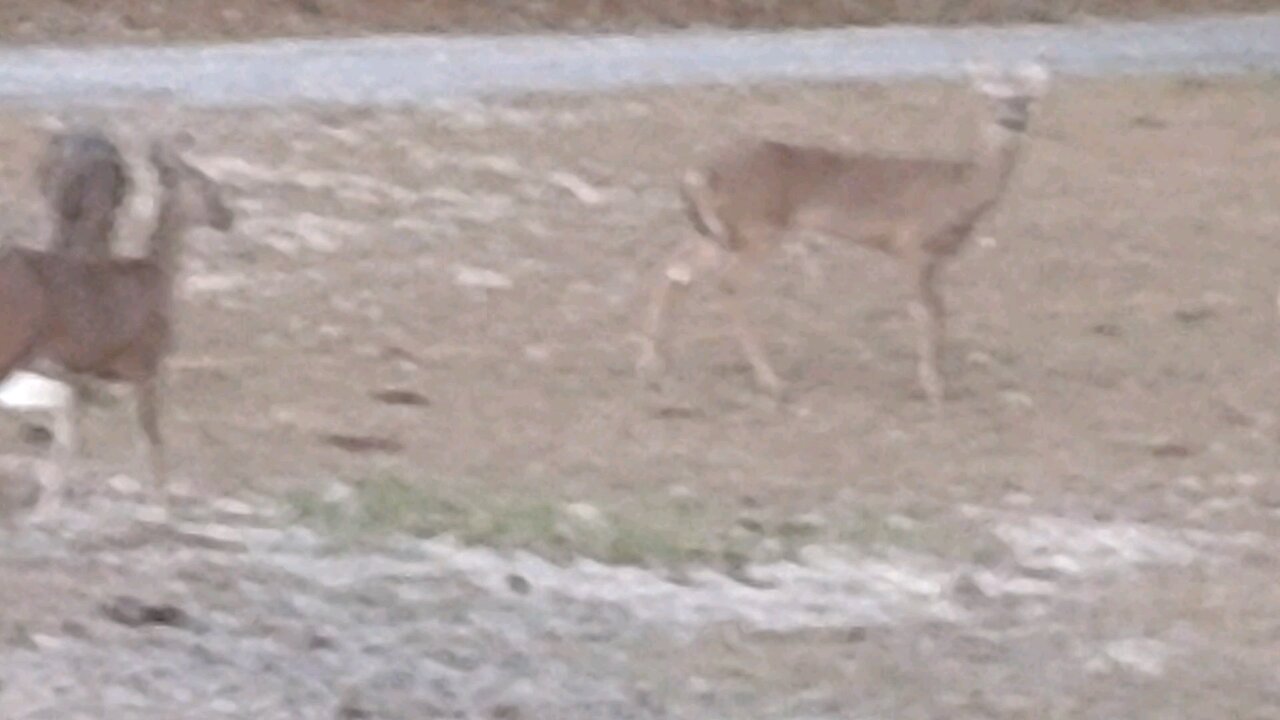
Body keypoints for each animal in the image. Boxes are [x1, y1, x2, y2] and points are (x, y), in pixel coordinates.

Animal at [0, 135, 232, 515]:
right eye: (207, 186)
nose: (228, 217)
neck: (158, 278)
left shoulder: (86, 372)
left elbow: (73, 437)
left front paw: (52, 501)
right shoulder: (146, 364)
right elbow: (151, 438)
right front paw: (162, 504)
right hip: (12, 341)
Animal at [637, 58, 1049, 409]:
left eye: (1026, 99)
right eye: (990, 97)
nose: (1012, 120)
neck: (960, 193)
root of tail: (698, 173)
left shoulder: (937, 258)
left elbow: (939, 310)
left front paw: (940, 378)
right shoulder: (912, 244)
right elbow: (925, 312)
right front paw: (932, 387)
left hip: (719, 231)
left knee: (672, 269)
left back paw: (655, 365)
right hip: (757, 228)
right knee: (726, 284)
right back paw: (772, 382)